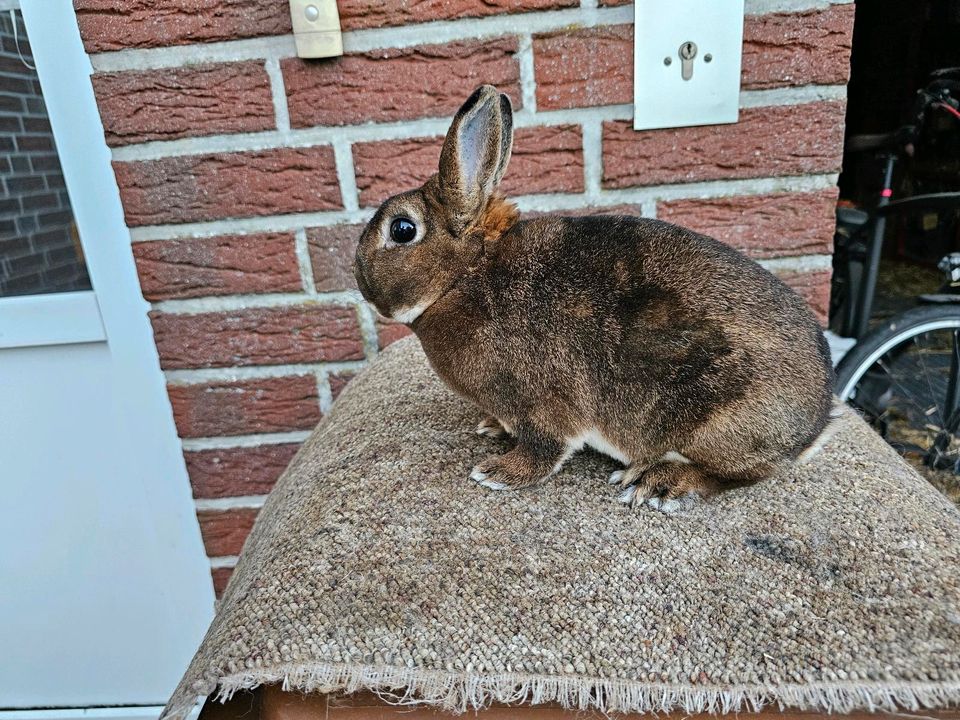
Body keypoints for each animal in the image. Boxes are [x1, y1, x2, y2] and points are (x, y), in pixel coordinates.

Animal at [352, 84, 832, 512]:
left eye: (402, 229)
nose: (357, 275)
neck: (464, 277)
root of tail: (815, 422)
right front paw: (491, 428)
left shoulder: (540, 405)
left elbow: (545, 448)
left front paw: (497, 473)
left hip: (717, 427)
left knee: (737, 474)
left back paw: (656, 482)